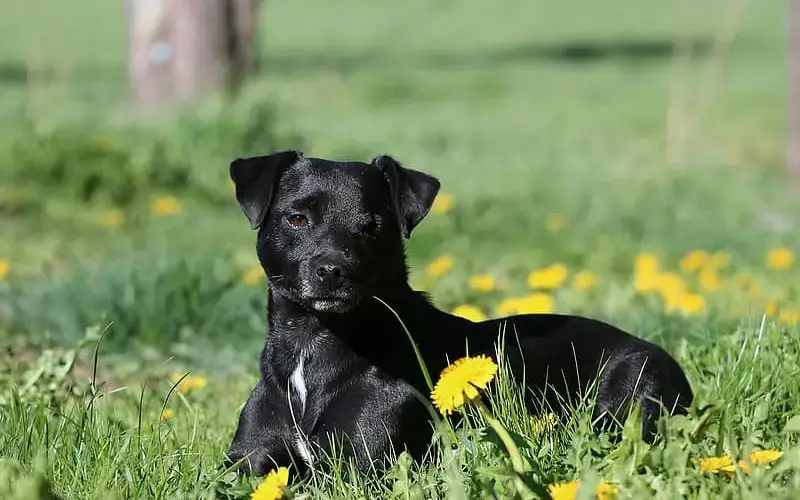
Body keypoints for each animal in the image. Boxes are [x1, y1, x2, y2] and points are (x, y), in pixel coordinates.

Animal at [225, 151, 692, 476]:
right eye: (297, 219)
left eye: (374, 226)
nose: (332, 271)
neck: (314, 345)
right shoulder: (247, 463)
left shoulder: (357, 464)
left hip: (628, 395)